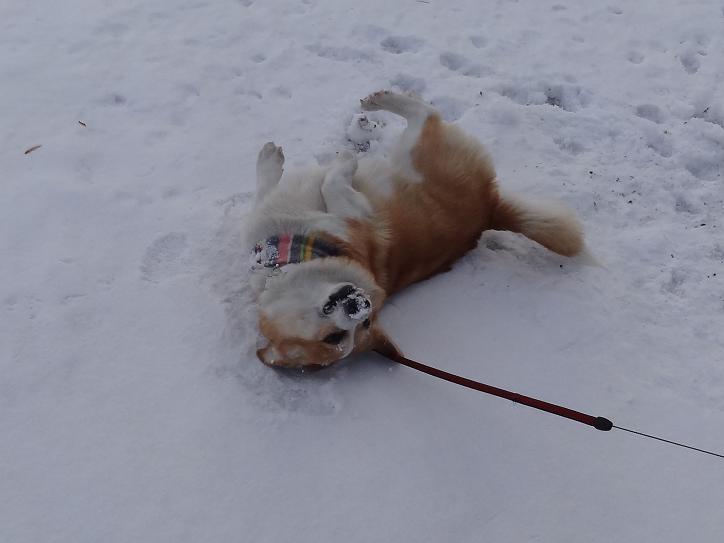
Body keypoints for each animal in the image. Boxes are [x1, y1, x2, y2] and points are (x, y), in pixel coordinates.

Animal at [246, 90, 584, 370]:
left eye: (364, 324)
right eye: (335, 338)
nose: (361, 305)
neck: (288, 251)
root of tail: (491, 209)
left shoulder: (353, 213)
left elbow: (324, 181)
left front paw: (327, 158)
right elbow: (267, 191)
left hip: (412, 150)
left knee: (426, 114)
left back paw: (377, 102)